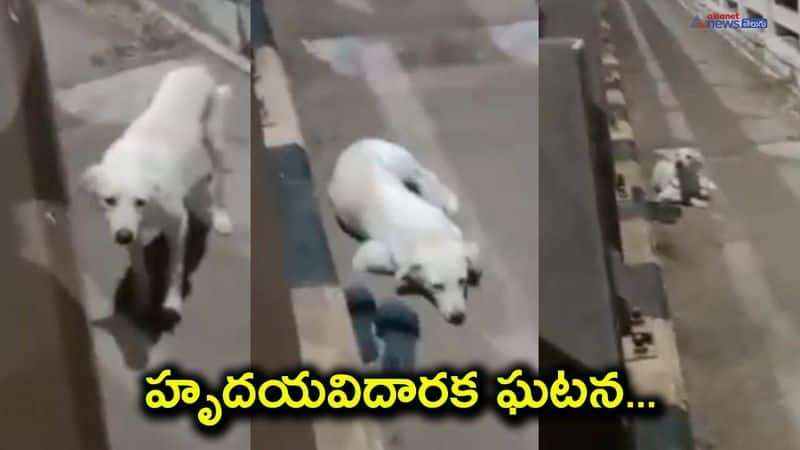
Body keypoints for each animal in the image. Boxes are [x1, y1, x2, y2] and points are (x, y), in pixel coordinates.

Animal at [80, 65, 234, 326]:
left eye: (139, 201)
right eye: (109, 200)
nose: (122, 237)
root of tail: (194, 67)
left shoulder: (178, 224)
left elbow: (175, 269)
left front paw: (172, 304)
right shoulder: (133, 232)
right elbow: (140, 270)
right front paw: (141, 304)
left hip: (216, 142)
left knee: (219, 182)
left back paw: (221, 217)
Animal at [326, 139, 482, 326]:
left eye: (462, 281)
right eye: (437, 286)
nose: (457, 317)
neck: (428, 236)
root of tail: (357, 143)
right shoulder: (367, 255)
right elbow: (395, 266)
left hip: (402, 164)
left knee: (423, 174)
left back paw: (444, 199)